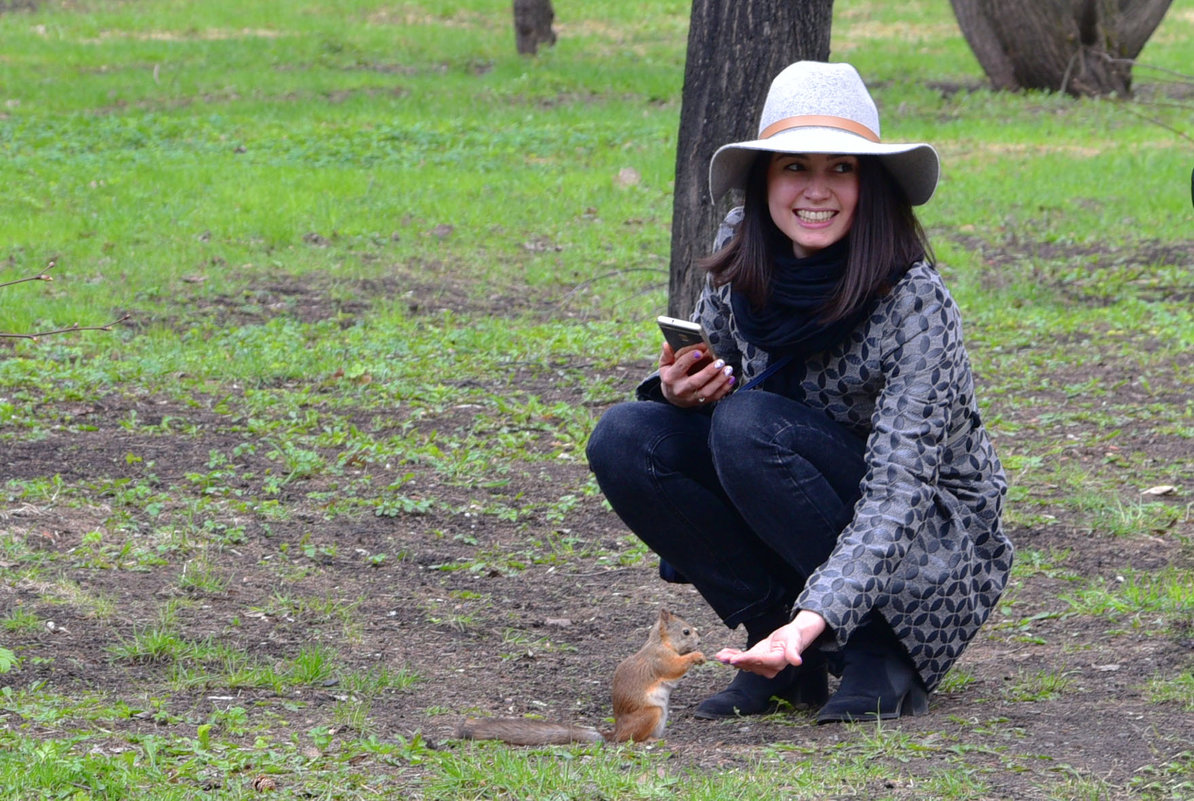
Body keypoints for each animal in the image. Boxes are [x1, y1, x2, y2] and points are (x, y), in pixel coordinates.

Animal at [453, 608, 697, 744]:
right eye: (686, 631)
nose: (699, 640)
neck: (660, 642)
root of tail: (615, 733)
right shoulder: (660, 660)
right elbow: (673, 668)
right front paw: (697, 656)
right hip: (651, 714)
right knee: (632, 739)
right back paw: (650, 741)